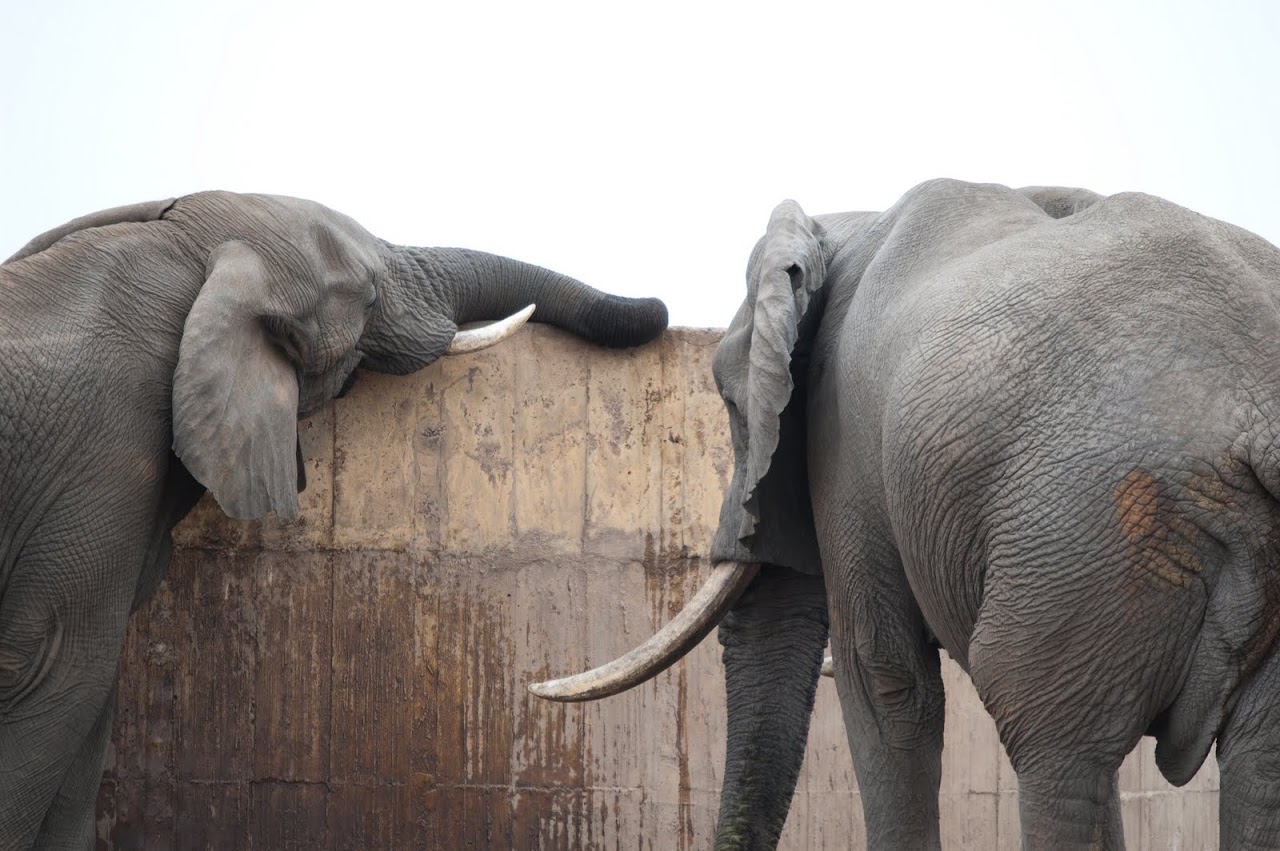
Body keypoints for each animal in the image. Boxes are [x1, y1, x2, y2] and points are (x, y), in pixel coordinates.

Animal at [0, 191, 667, 849]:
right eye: (368, 296)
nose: (658, 305)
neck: (180, 251)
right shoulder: (103, 448)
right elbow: (54, 667)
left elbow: (90, 690)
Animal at [534, 178, 1280, 849]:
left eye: (726, 395)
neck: (848, 220)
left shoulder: (847, 438)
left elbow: (884, 678)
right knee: (1255, 760)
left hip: (1090, 528)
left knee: (1053, 746)